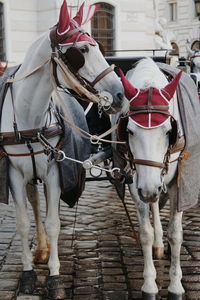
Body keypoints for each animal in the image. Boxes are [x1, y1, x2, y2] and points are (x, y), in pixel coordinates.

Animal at [0, 1, 123, 298]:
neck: (29, 117)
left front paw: (54, 277)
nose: (120, 95)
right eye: (83, 50)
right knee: (34, 203)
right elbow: (23, 223)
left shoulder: (55, 171)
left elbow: (54, 222)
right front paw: (28, 274)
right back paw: (41, 250)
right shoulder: (14, 174)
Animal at [117, 57, 186, 298]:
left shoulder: (176, 184)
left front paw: (175, 285)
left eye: (168, 131)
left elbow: (175, 234)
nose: (149, 189)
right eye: (129, 131)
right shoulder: (135, 183)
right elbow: (145, 233)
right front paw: (149, 284)